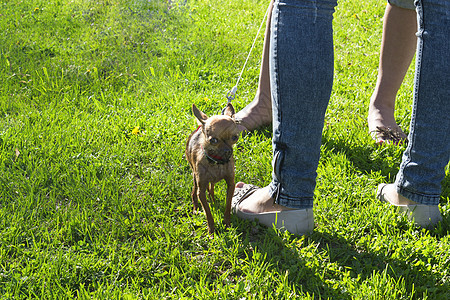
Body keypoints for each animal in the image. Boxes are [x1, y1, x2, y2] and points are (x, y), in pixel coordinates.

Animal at [185, 103, 239, 234]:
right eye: (213, 140)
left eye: (235, 137)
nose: (228, 151)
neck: (216, 161)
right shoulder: (201, 192)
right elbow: (208, 212)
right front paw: (211, 231)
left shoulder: (231, 184)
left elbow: (228, 205)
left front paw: (227, 223)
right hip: (195, 177)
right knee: (194, 192)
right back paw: (195, 208)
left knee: (212, 188)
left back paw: (213, 200)